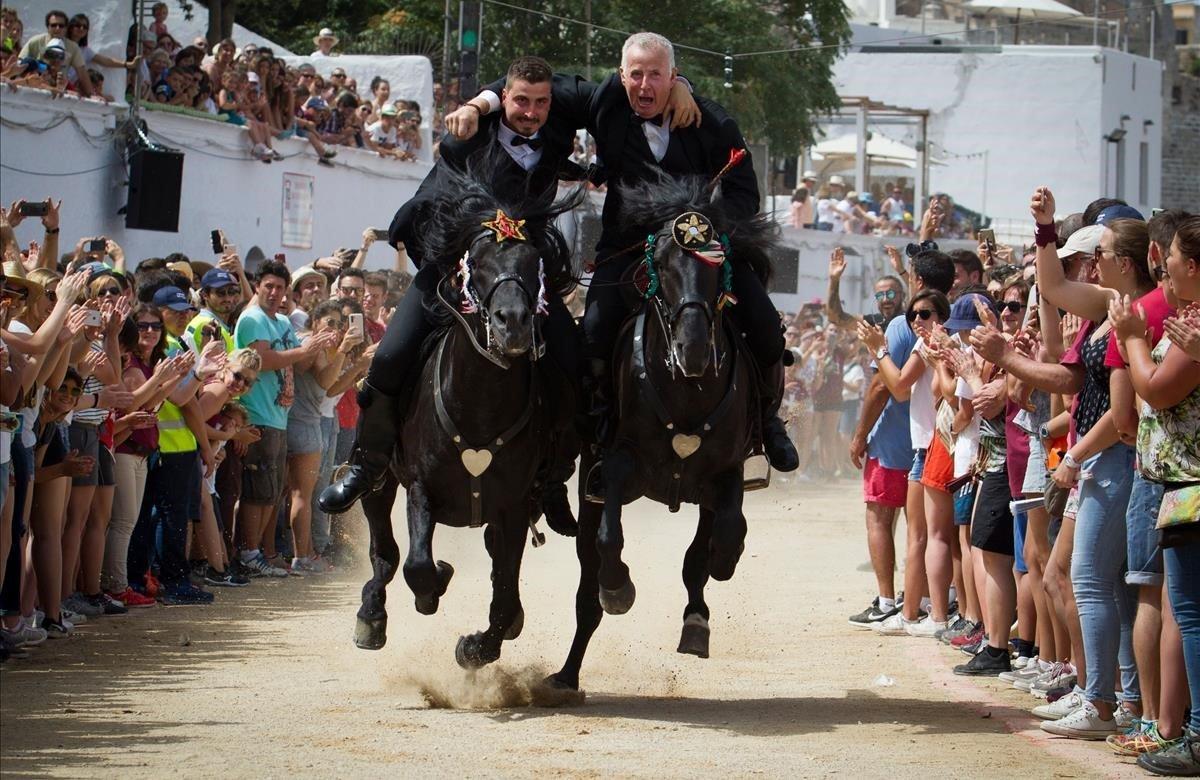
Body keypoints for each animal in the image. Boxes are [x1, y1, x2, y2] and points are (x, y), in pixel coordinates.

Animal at [352, 159, 583, 667]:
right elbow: (418, 564)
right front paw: (436, 581)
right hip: (381, 477)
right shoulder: (420, 487)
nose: (512, 323)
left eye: (534, 263)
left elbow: (506, 593)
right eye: (476, 263)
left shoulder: (513, 506)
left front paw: (478, 646)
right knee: (384, 548)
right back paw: (371, 616)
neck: (480, 404)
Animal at [547, 172, 777, 691]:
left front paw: (721, 569)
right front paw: (618, 587)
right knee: (587, 580)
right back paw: (567, 672)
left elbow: (722, 539)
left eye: (720, 263)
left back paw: (696, 619)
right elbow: (609, 539)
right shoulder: (618, 465)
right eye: (664, 264)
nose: (693, 349)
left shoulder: (725, 475)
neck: (686, 388)